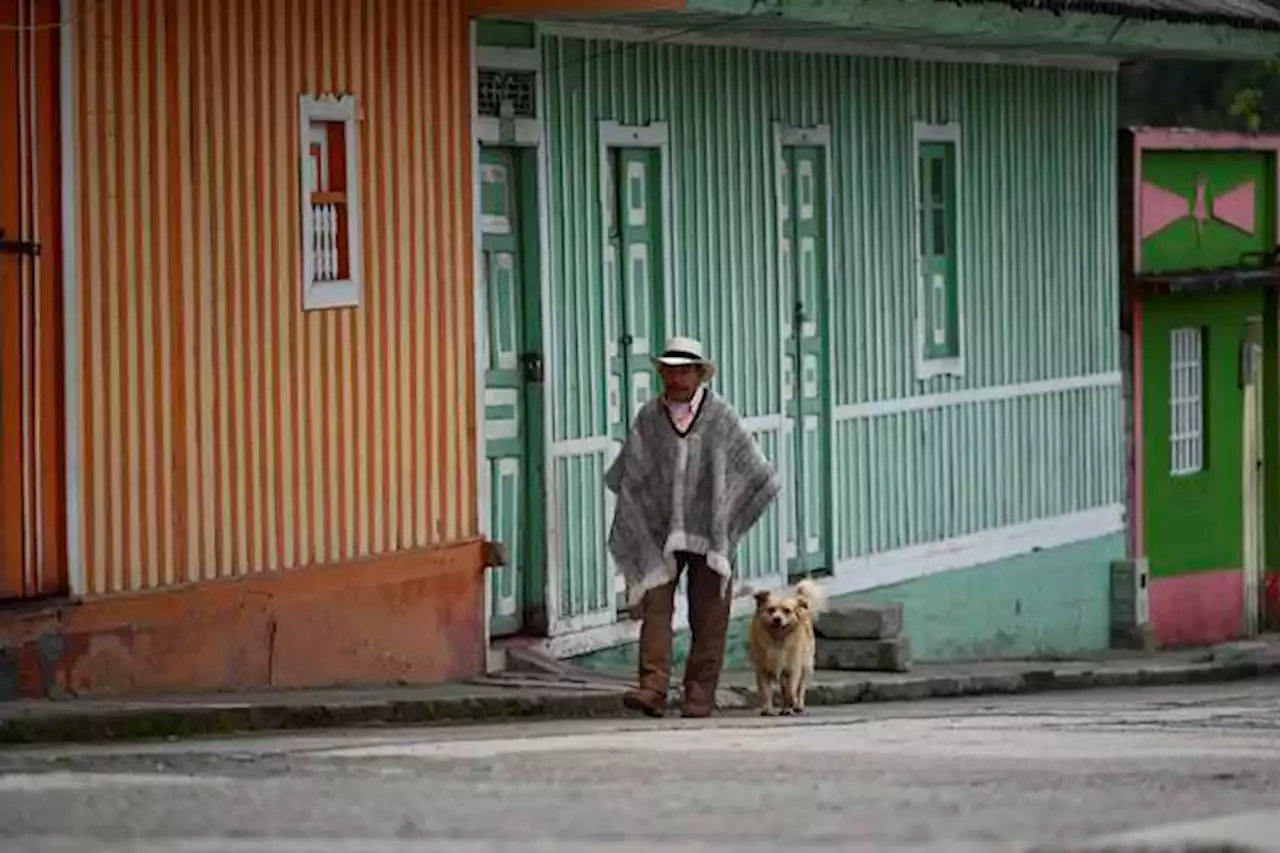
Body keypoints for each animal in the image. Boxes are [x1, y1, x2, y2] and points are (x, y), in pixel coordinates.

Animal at [747, 578, 824, 712]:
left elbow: (791, 690)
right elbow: (766, 691)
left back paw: (797, 705)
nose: (777, 619)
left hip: (806, 666)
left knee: (800, 688)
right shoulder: (762, 670)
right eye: (771, 610)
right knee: (783, 689)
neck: (778, 639)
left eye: (787, 611)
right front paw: (767, 709)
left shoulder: (792, 669)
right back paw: (785, 708)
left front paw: (792, 702)